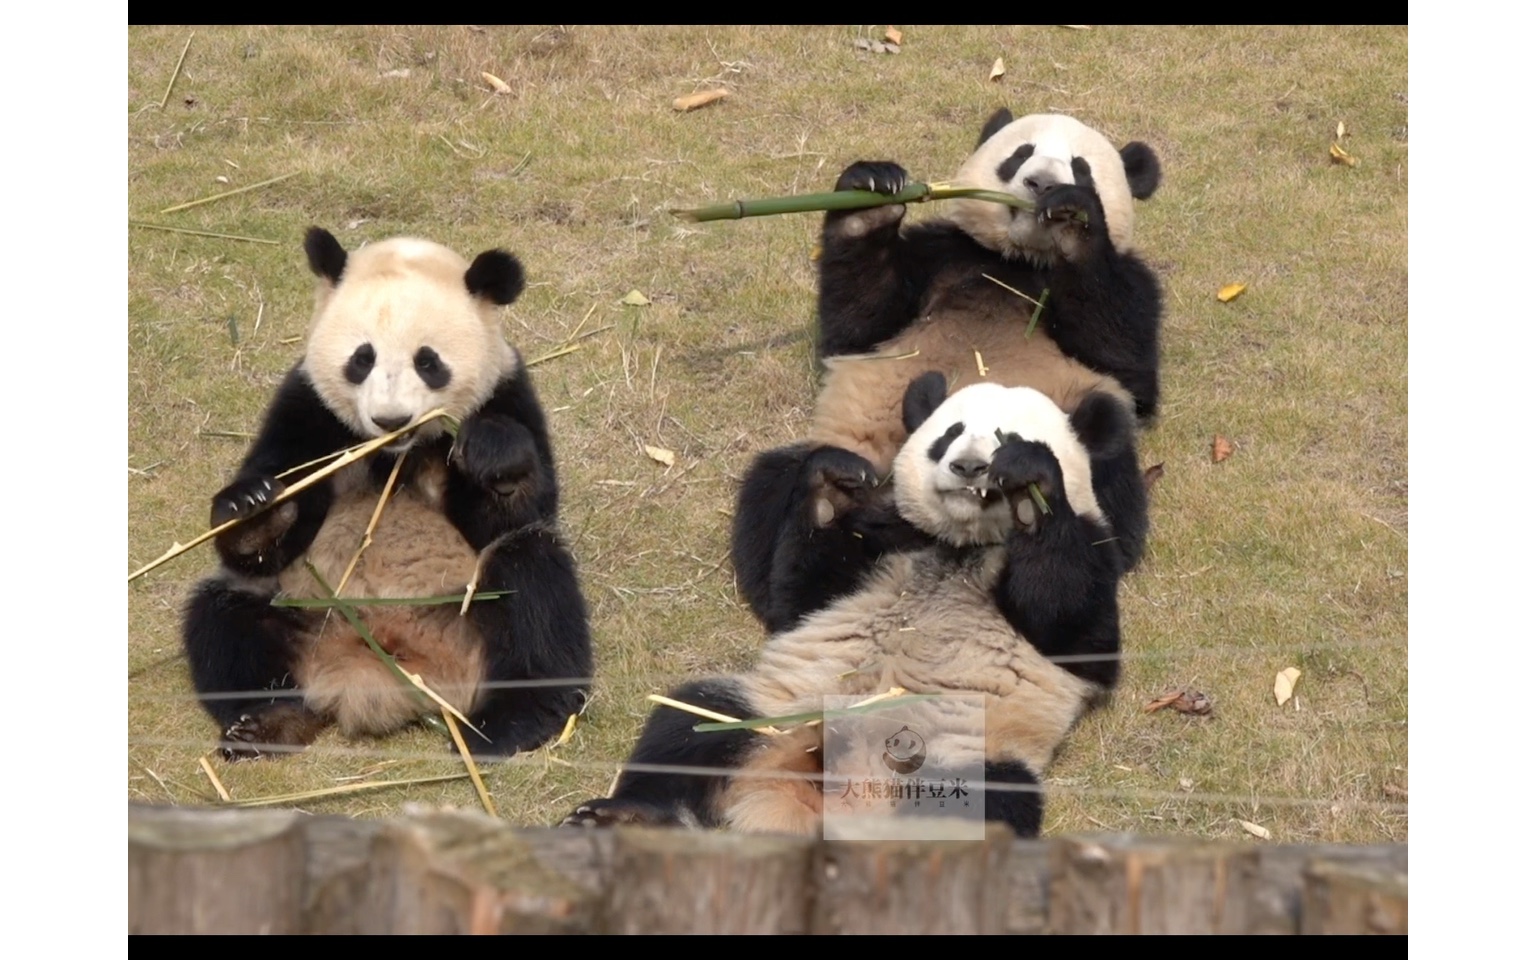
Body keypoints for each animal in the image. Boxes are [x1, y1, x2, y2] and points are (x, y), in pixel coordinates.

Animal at [176, 228, 589, 758]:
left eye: (428, 362)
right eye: (362, 358)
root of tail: (375, 678)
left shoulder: (509, 391)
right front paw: (254, 509)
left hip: (467, 622)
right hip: (306, 615)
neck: (395, 453)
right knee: (226, 613)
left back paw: (504, 727)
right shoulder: (307, 408)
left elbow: (518, 513)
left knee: (532, 582)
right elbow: (268, 531)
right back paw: (269, 724)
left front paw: (493, 456)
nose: (391, 420)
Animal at [565, 370, 1130, 835]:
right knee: (692, 724)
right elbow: (804, 592)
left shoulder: (1098, 550)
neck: (960, 544)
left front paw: (1030, 484)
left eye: (1005, 438)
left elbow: (1074, 625)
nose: (968, 467)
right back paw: (624, 817)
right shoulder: (887, 538)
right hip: (773, 711)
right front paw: (833, 484)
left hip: (969, 755)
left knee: (985, 806)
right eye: (949, 434)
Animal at [734, 108, 1161, 632]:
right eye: (1020, 154)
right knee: (773, 484)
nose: (1042, 184)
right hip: (857, 454)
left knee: (1110, 473)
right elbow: (856, 324)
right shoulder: (941, 254)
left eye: (1080, 168)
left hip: (1087, 449)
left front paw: (1074, 218)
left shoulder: (1133, 287)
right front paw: (870, 195)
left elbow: (1127, 362)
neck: (1015, 259)